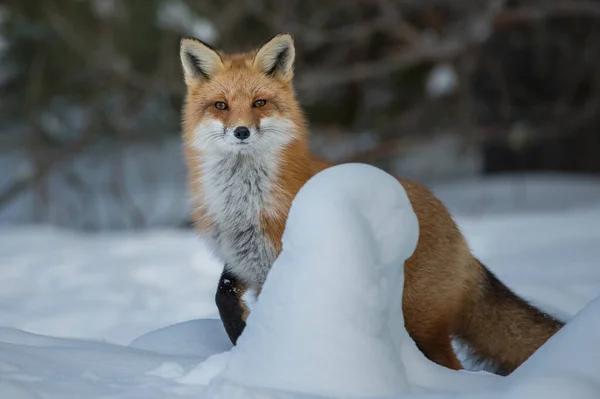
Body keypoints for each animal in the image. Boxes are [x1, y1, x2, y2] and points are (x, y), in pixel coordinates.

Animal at [177, 32, 564, 376]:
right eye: (221, 105)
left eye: (259, 103)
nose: (241, 131)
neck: (245, 205)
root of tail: (461, 238)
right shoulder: (246, 262)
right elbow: (223, 296)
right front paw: (244, 339)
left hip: (420, 328)